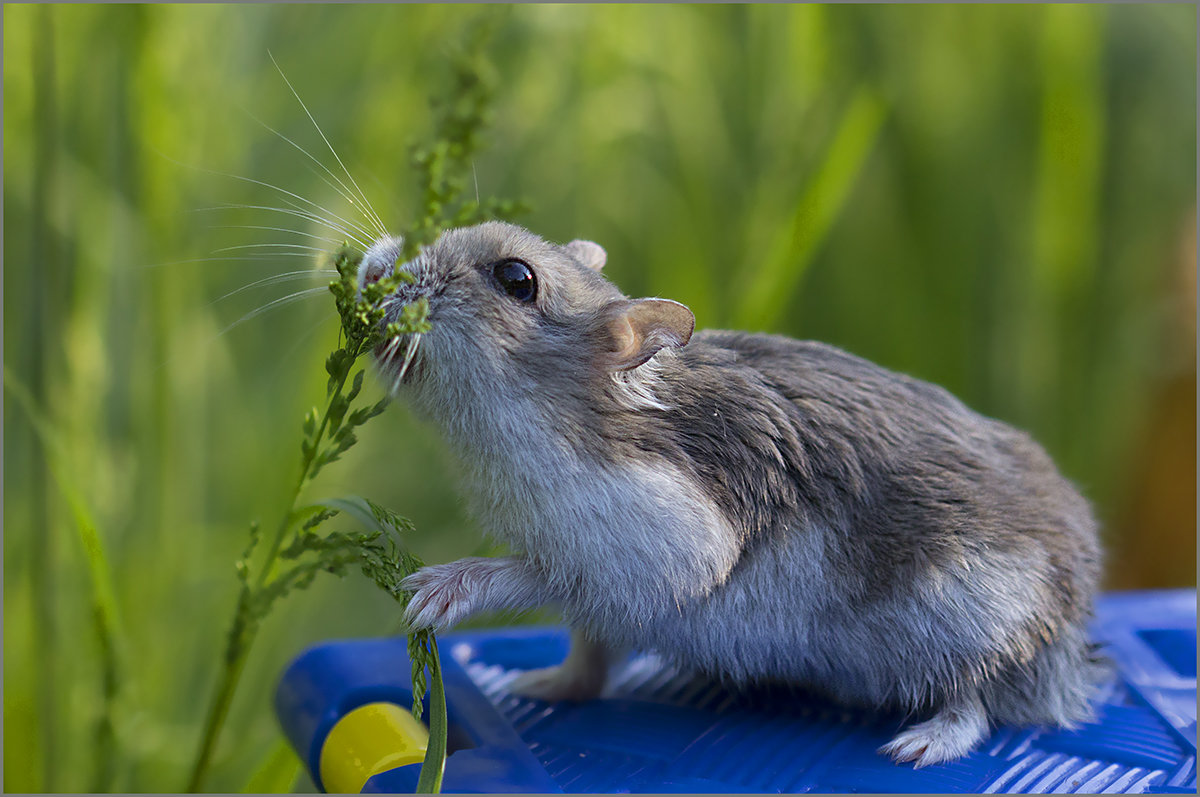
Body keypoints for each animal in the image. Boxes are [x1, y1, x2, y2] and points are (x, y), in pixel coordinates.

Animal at [360, 219, 1099, 768]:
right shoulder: (607, 600)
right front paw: (535, 684)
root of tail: (1076, 606)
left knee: (980, 698)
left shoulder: (653, 548)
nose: (368, 271)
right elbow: (588, 653)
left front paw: (427, 595)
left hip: (969, 619)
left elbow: (538, 576)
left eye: (516, 279)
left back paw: (918, 745)